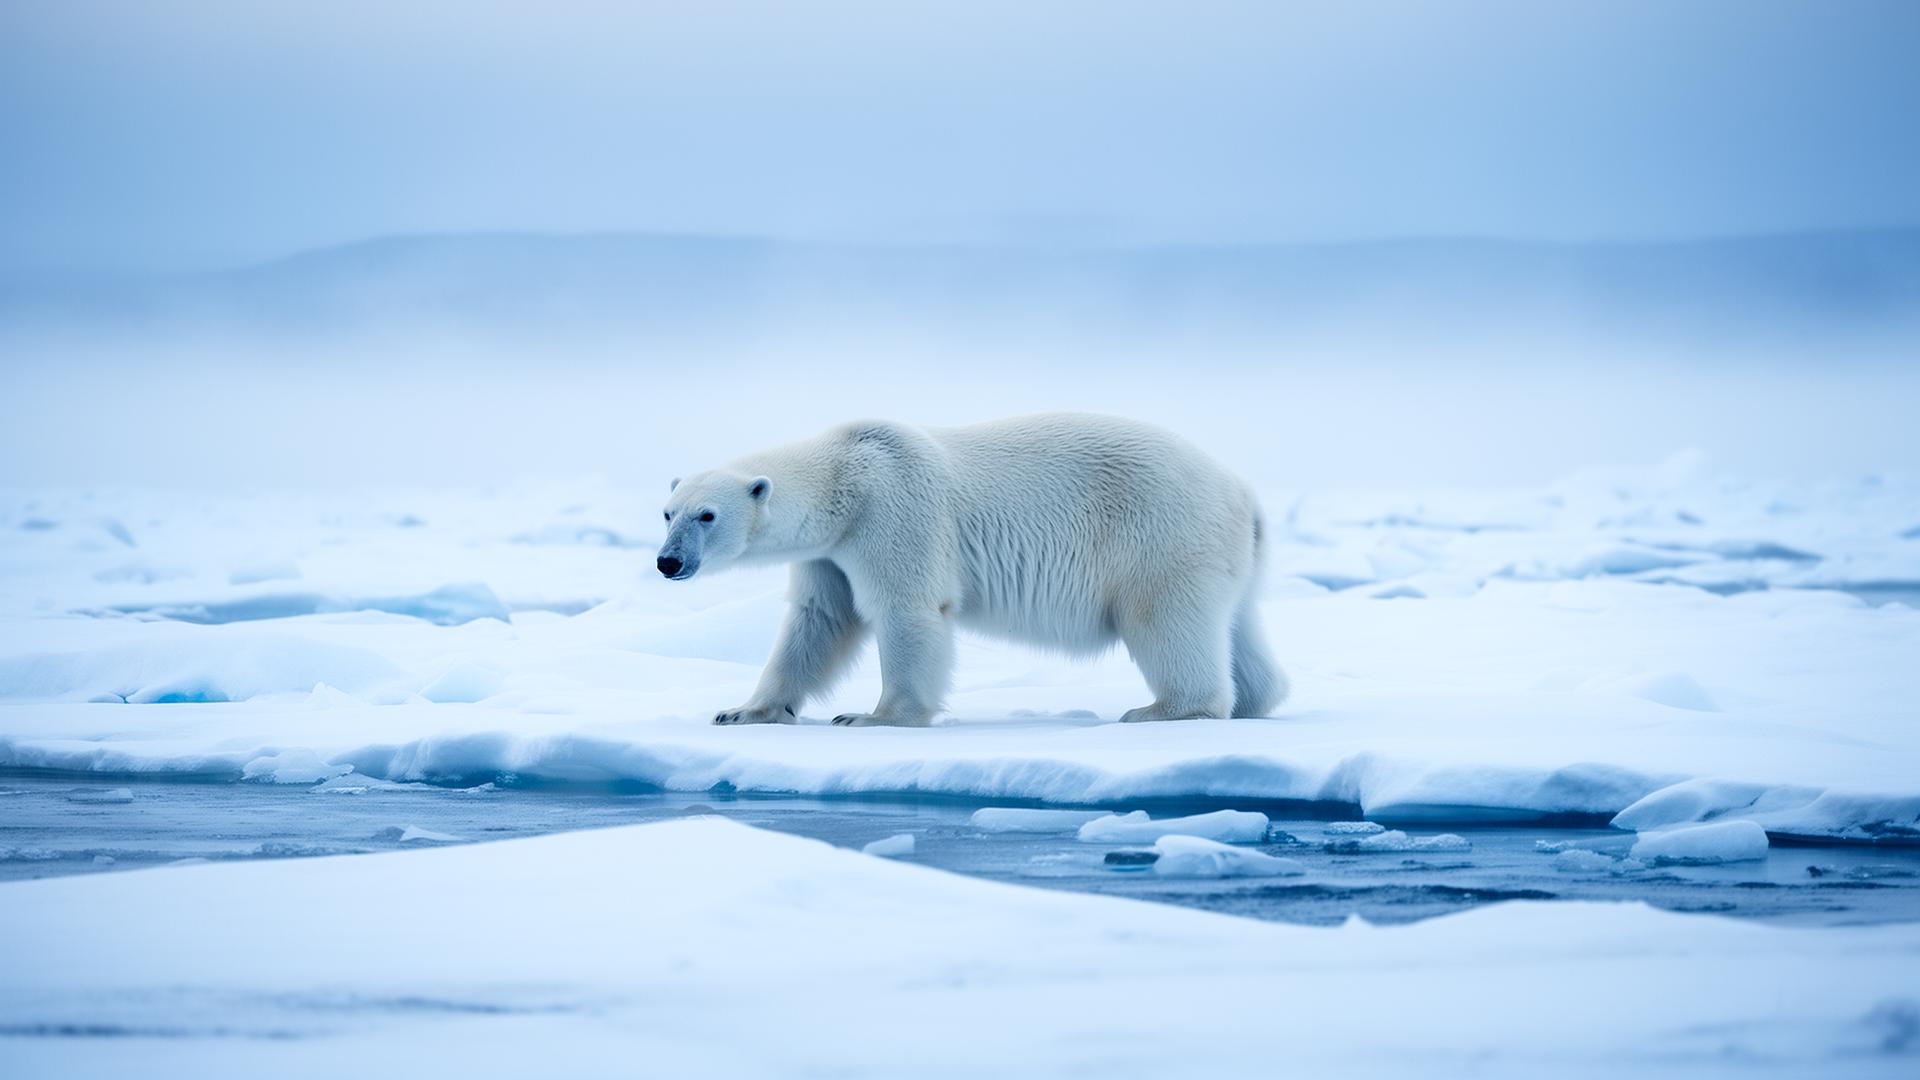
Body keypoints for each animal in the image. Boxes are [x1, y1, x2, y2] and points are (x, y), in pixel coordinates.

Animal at [655, 413, 1286, 727]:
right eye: (667, 511)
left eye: (707, 515)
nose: (668, 561)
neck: (848, 473)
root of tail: (1242, 494)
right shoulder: (829, 553)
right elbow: (818, 621)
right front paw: (743, 710)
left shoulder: (894, 510)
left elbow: (906, 609)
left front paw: (871, 717)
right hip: (1227, 553)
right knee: (1238, 625)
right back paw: (1256, 700)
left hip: (1161, 532)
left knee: (1164, 618)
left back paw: (1164, 709)